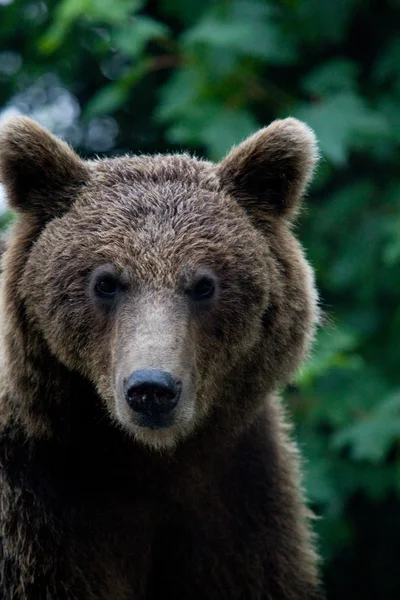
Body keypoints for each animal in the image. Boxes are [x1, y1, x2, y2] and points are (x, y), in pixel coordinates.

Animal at [0, 115, 322, 596]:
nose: (152, 389)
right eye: (106, 282)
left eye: (204, 284)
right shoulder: (37, 507)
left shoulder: (240, 495)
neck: (149, 460)